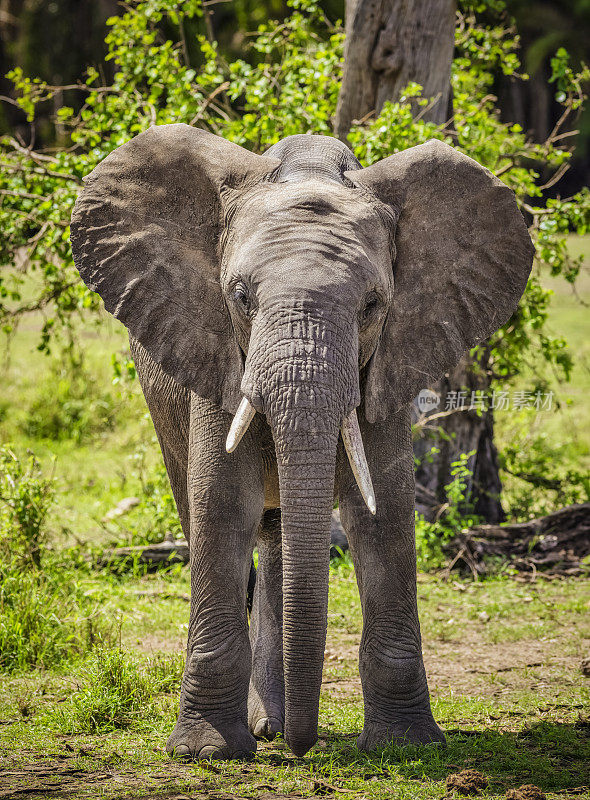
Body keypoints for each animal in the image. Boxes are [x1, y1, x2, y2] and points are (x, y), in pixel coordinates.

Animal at [70, 123, 536, 756]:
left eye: (373, 305)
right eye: (240, 296)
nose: (303, 747)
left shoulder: (387, 365)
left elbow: (384, 516)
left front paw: (406, 745)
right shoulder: (216, 355)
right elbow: (221, 505)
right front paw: (207, 751)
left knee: (277, 535)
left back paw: (273, 724)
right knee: (218, 517)